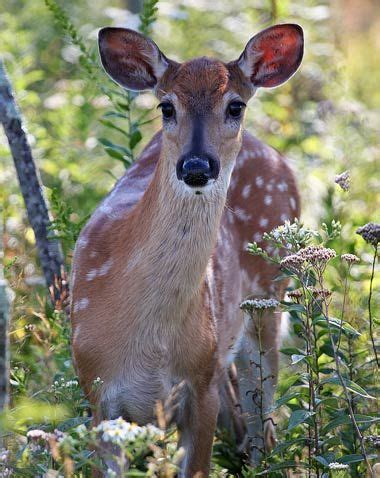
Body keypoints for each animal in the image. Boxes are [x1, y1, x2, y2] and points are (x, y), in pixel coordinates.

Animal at [70, 24, 302, 476]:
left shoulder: (202, 380)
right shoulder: (96, 394)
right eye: (166, 107)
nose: (197, 166)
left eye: (235, 106)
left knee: (263, 429)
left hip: (267, 299)